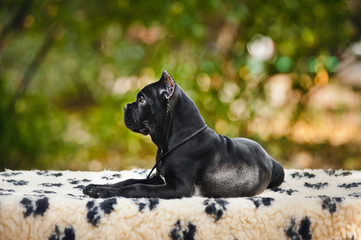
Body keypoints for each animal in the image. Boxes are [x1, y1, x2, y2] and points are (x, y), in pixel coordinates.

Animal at [84, 70, 284, 198]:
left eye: (141, 99)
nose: (125, 106)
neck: (167, 144)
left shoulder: (178, 187)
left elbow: (136, 187)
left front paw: (104, 192)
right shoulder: (158, 179)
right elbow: (129, 180)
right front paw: (98, 186)